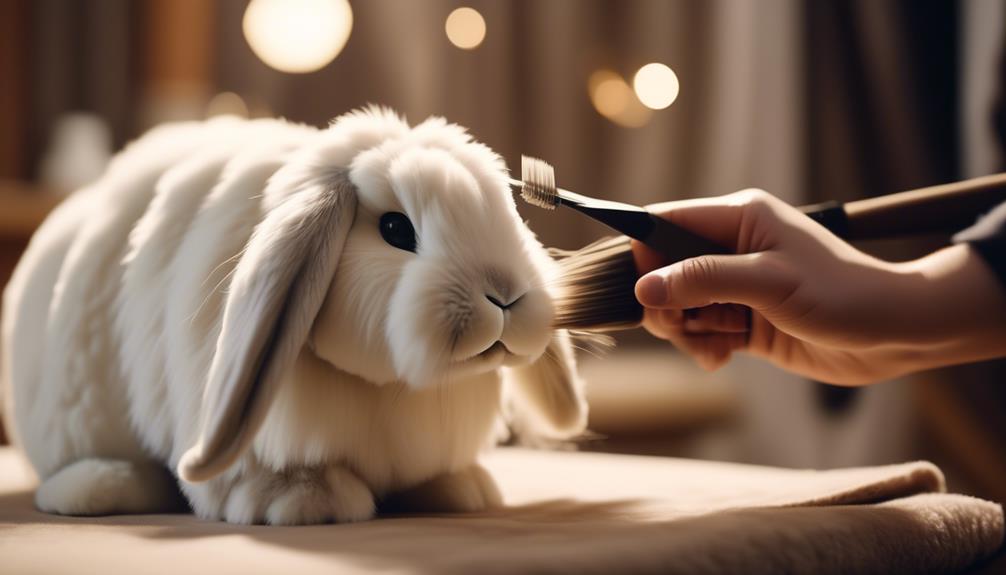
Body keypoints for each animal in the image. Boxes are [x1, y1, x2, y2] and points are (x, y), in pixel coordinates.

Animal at [0, 107, 587, 526]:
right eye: (395, 229)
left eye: (505, 217)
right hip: (74, 410)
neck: (387, 387)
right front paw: (305, 501)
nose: (505, 296)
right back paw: (102, 486)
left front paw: (458, 488)